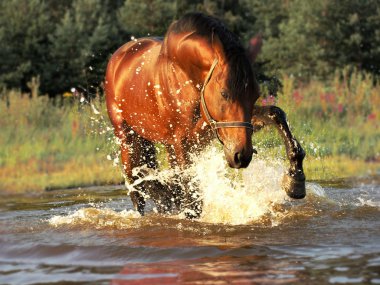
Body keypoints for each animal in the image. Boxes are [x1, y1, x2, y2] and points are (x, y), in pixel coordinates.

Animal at [104, 12, 306, 217]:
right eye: (224, 93)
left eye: (255, 94)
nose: (241, 155)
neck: (185, 74)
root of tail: (118, 57)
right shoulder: (181, 141)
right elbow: (191, 200)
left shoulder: (220, 125)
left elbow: (276, 113)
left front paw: (295, 180)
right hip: (127, 139)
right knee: (137, 188)